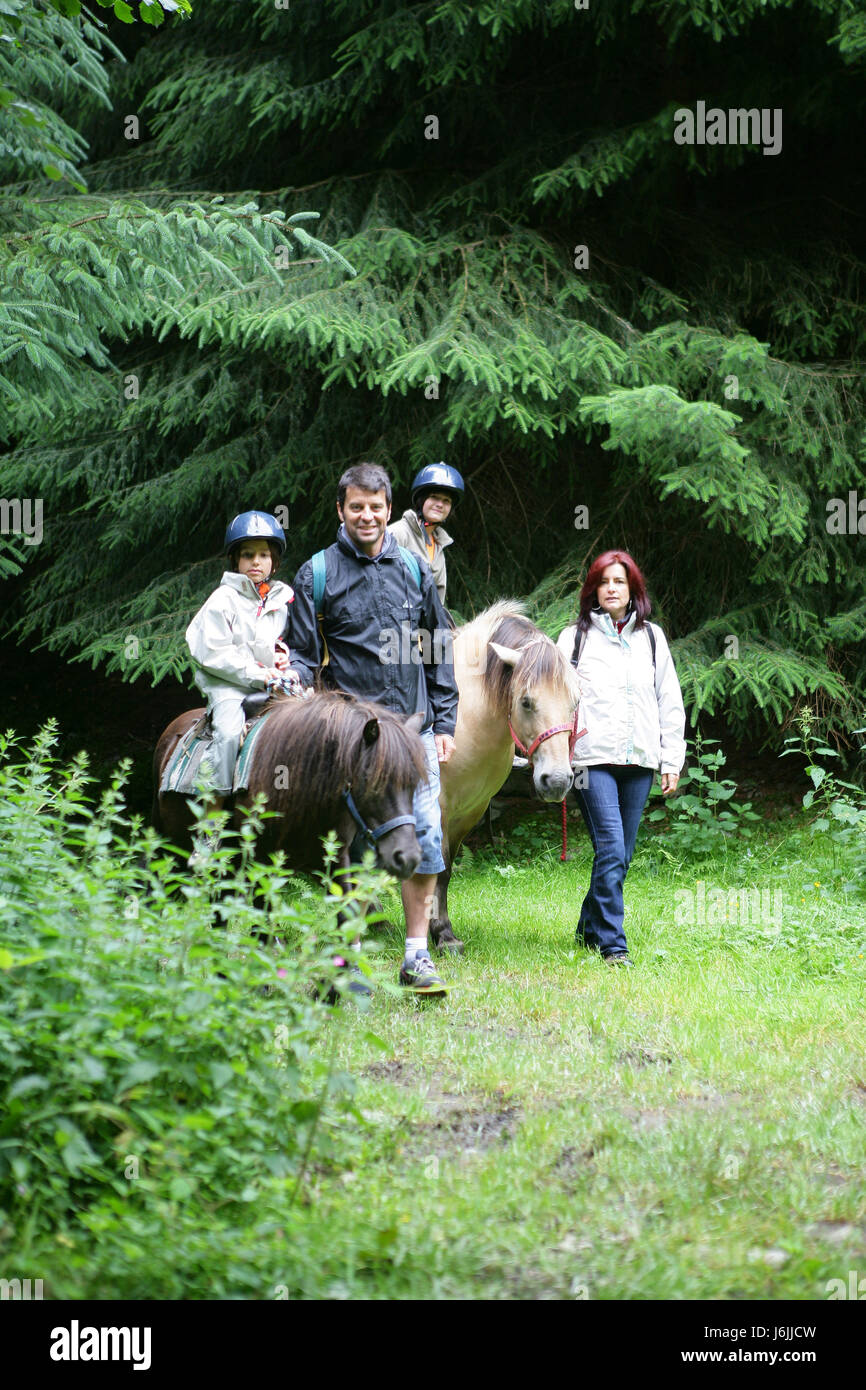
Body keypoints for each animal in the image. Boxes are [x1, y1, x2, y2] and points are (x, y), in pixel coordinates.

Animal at [433, 603, 583, 950]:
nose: (557, 781)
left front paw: (440, 930)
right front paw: (439, 934)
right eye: (526, 701)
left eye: (575, 702)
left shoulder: (470, 809)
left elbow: (446, 870)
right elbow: (438, 866)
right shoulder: (439, 805)